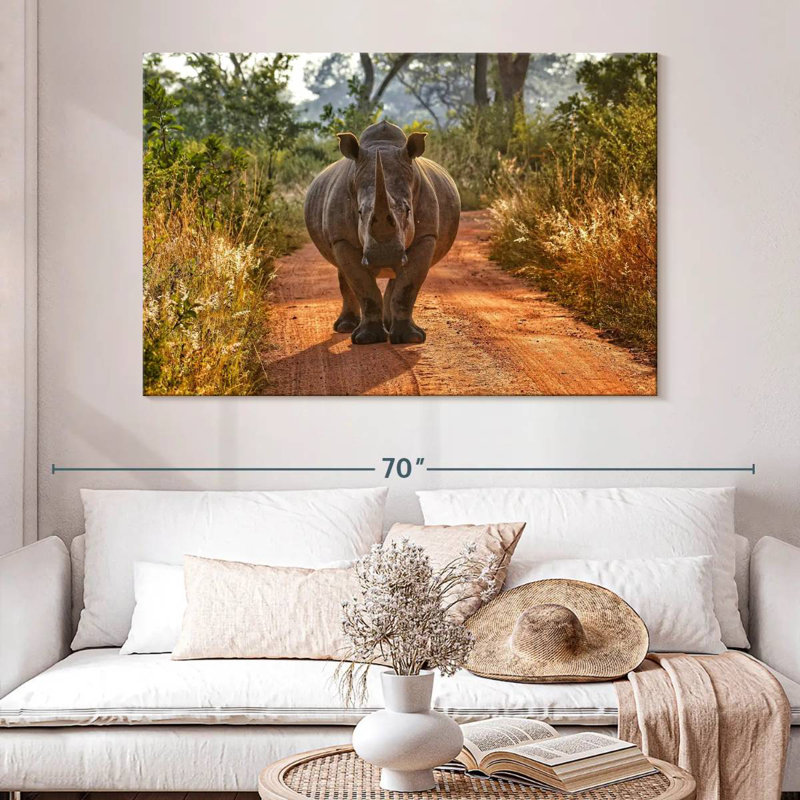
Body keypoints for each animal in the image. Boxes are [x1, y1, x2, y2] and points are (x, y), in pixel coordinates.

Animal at [304, 120, 460, 344]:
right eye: (360, 212)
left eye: (408, 211)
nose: (384, 256)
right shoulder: (342, 240)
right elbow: (363, 287)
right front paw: (367, 339)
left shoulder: (426, 236)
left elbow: (407, 287)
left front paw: (410, 339)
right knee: (344, 274)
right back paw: (345, 327)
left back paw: (388, 324)